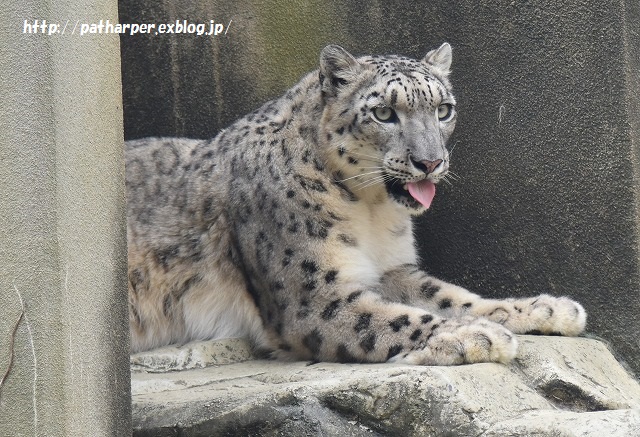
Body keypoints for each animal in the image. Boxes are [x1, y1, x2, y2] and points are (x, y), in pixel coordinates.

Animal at [125, 43, 584, 364]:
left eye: (444, 109)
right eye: (383, 113)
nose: (430, 162)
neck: (372, 211)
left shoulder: (391, 268)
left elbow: (452, 296)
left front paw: (547, 309)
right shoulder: (314, 295)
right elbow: (391, 318)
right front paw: (473, 335)